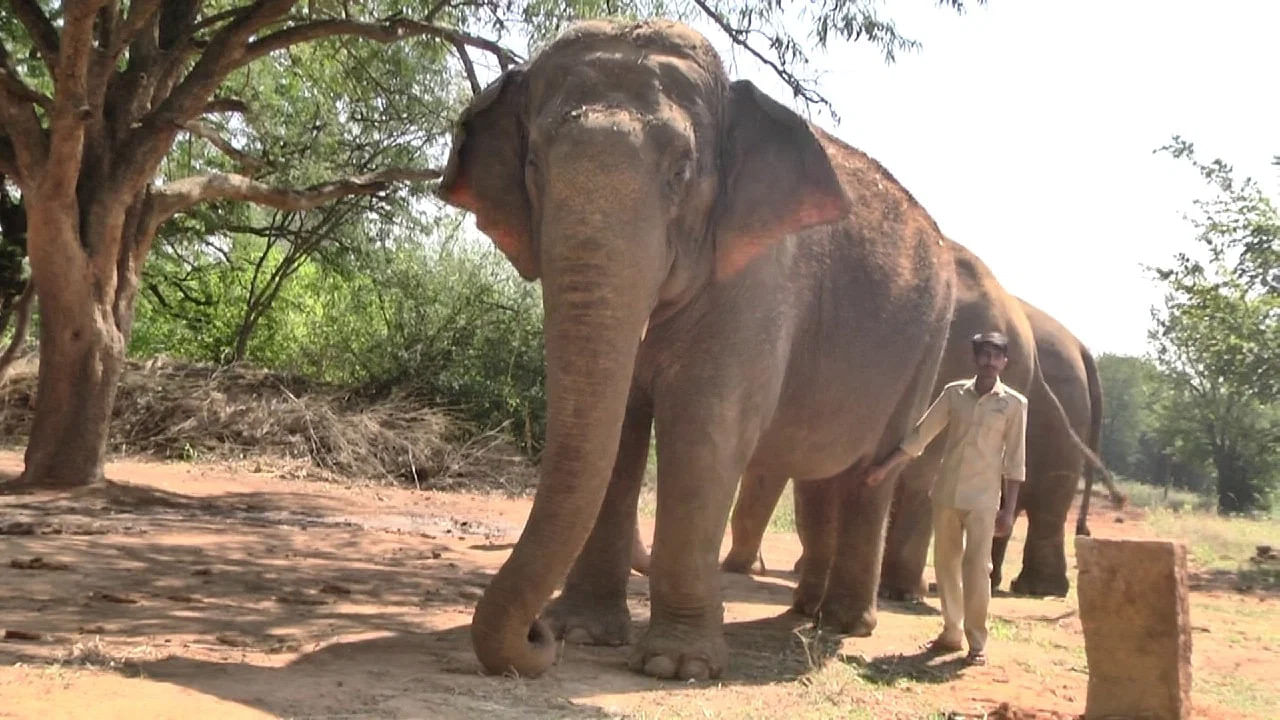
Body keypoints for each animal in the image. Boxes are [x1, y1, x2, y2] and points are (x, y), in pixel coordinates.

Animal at [435, 16, 957, 676]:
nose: (536, 635)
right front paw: (583, 633)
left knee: (873, 472)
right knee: (822, 471)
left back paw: (845, 625)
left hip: (931, 339)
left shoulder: (756, 278)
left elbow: (707, 426)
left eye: (680, 172)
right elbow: (621, 430)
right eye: (533, 164)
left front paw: (676, 668)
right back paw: (805, 615)